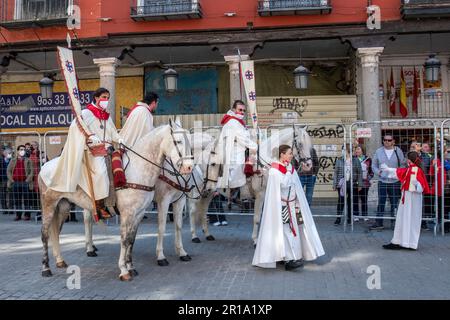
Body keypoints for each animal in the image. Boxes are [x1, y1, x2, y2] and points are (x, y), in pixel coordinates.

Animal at [39, 119, 193, 280]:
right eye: (178, 141)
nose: (189, 167)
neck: (137, 169)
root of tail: (45, 167)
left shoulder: (139, 213)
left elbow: (132, 239)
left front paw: (131, 267)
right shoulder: (132, 212)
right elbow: (125, 240)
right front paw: (124, 270)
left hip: (63, 206)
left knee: (56, 231)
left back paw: (60, 260)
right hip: (49, 205)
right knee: (45, 234)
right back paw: (46, 268)